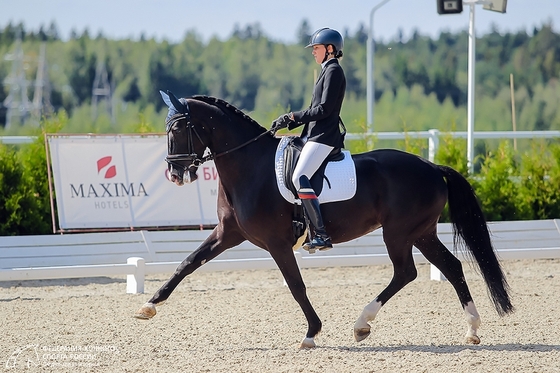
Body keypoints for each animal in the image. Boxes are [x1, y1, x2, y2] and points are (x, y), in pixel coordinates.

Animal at [135, 91, 512, 348]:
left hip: (399, 233)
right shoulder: (228, 233)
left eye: (178, 129)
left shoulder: (276, 243)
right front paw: (148, 307)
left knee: (406, 272)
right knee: (450, 266)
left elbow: (296, 286)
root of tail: (432, 166)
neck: (249, 167)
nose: (174, 175)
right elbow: (187, 263)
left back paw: (362, 323)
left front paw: (311, 334)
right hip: (421, 233)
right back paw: (471, 329)